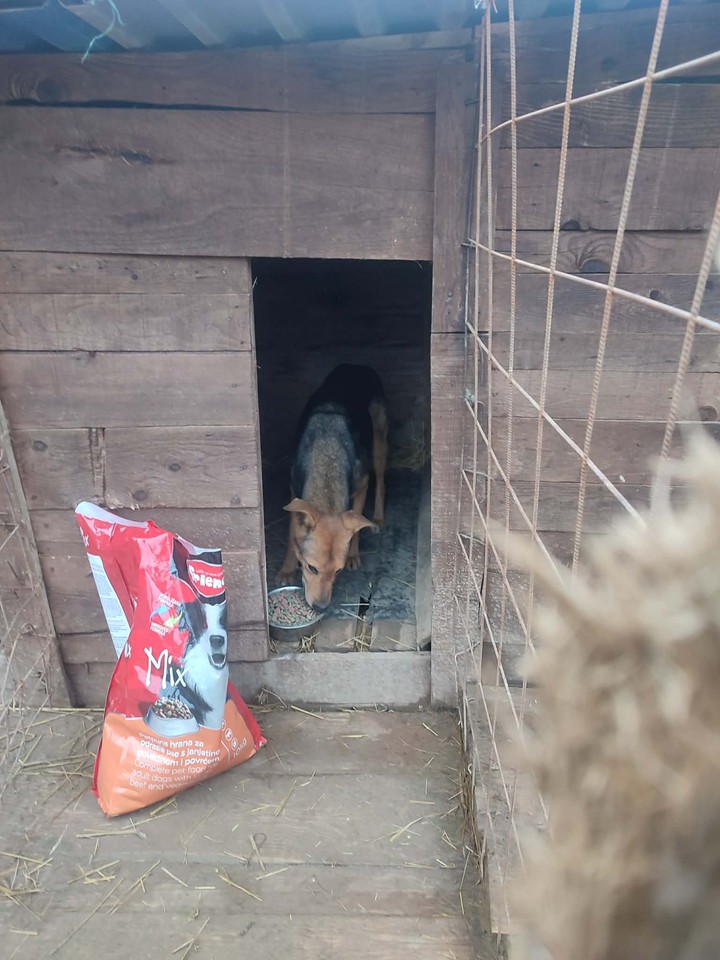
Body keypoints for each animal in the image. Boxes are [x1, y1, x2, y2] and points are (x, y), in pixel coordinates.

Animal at [277, 364, 388, 612]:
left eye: (338, 571)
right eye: (311, 567)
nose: (320, 608)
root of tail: (357, 366)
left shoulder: (362, 483)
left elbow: (356, 523)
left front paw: (353, 555)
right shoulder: (294, 492)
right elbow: (292, 534)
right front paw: (287, 568)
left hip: (378, 442)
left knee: (381, 480)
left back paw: (377, 518)